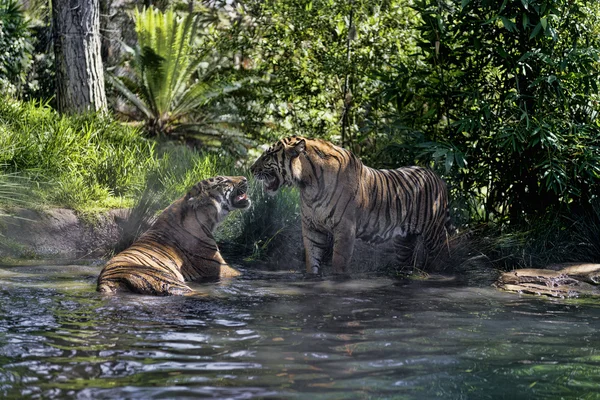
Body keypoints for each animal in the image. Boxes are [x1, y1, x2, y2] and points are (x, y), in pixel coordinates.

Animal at [248, 137, 450, 276]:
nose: (250, 169)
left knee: (441, 257)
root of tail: (437, 176)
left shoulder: (345, 229)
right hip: (405, 240)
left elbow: (339, 263)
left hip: (434, 233)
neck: (308, 184)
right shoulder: (312, 228)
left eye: (267, 155)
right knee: (406, 261)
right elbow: (312, 260)